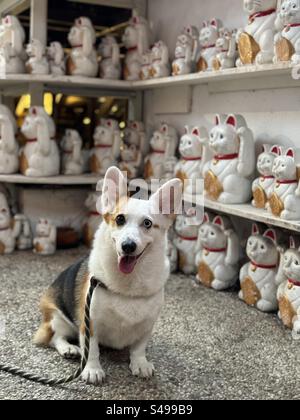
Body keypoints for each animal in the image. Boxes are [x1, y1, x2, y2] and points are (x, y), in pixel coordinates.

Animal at [34, 167, 182, 384]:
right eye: (119, 219)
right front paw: (92, 370)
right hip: (58, 317)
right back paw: (69, 348)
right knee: (55, 337)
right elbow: (92, 350)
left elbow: (139, 348)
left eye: (147, 223)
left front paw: (140, 363)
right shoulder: (89, 323)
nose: (128, 246)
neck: (127, 284)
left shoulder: (146, 325)